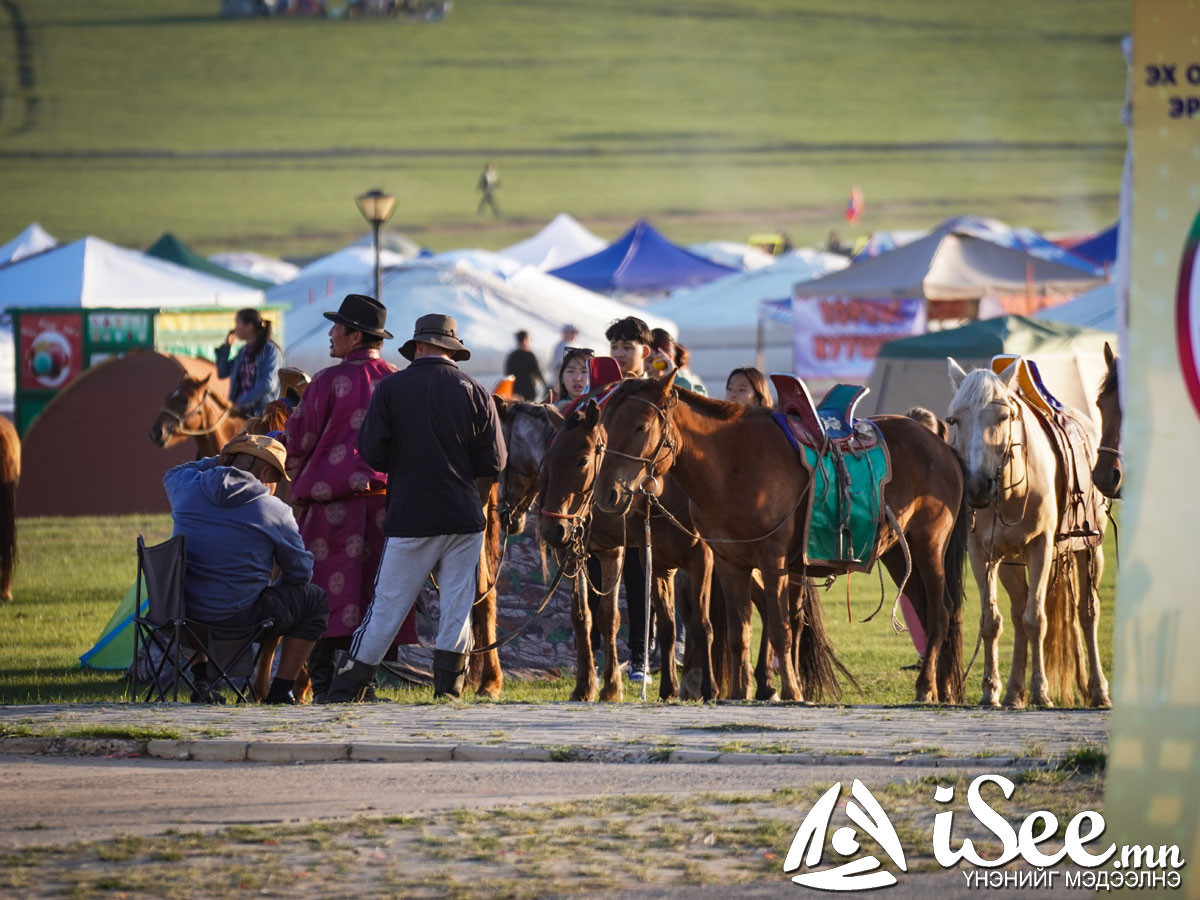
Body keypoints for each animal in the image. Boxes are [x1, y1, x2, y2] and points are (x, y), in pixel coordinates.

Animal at [595, 374, 969, 705]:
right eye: (606, 427)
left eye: (641, 426)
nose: (608, 494)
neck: (732, 463)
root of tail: (940, 445)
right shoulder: (729, 563)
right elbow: (738, 632)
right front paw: (739, 692)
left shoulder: (771, 560)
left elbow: (780, 628)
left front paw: (790, 690)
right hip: (897, 554)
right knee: (926, 612)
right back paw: (942, 689)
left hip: (928, 545)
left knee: (940, 613)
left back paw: (925, 687)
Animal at [950, 362, 1108, 710]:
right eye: (955, 420)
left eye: (1003, 417)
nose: (977, 487)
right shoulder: (983, 554)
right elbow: (992, 622)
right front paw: (990, 691)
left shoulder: (1041, 548)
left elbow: (1036, 619)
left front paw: (1041, 692)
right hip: (1011, 562)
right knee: (1017, 611)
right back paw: (1012, 693)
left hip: (1090, 550)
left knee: (1087, 614)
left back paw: (1099, 691)